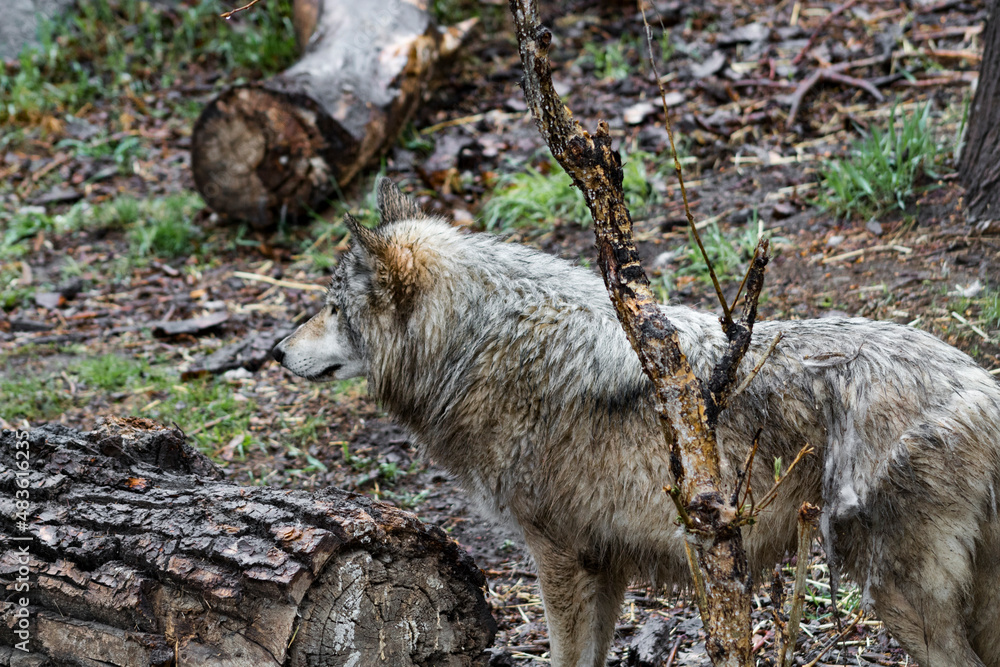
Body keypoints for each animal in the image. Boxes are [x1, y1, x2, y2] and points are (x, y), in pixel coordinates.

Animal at [273, 178, 1000, 667]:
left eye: (331, 307)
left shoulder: (559, 556)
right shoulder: (606, 561)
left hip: (894, 592)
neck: (478, 348)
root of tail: (981, 384)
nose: (274, 350)